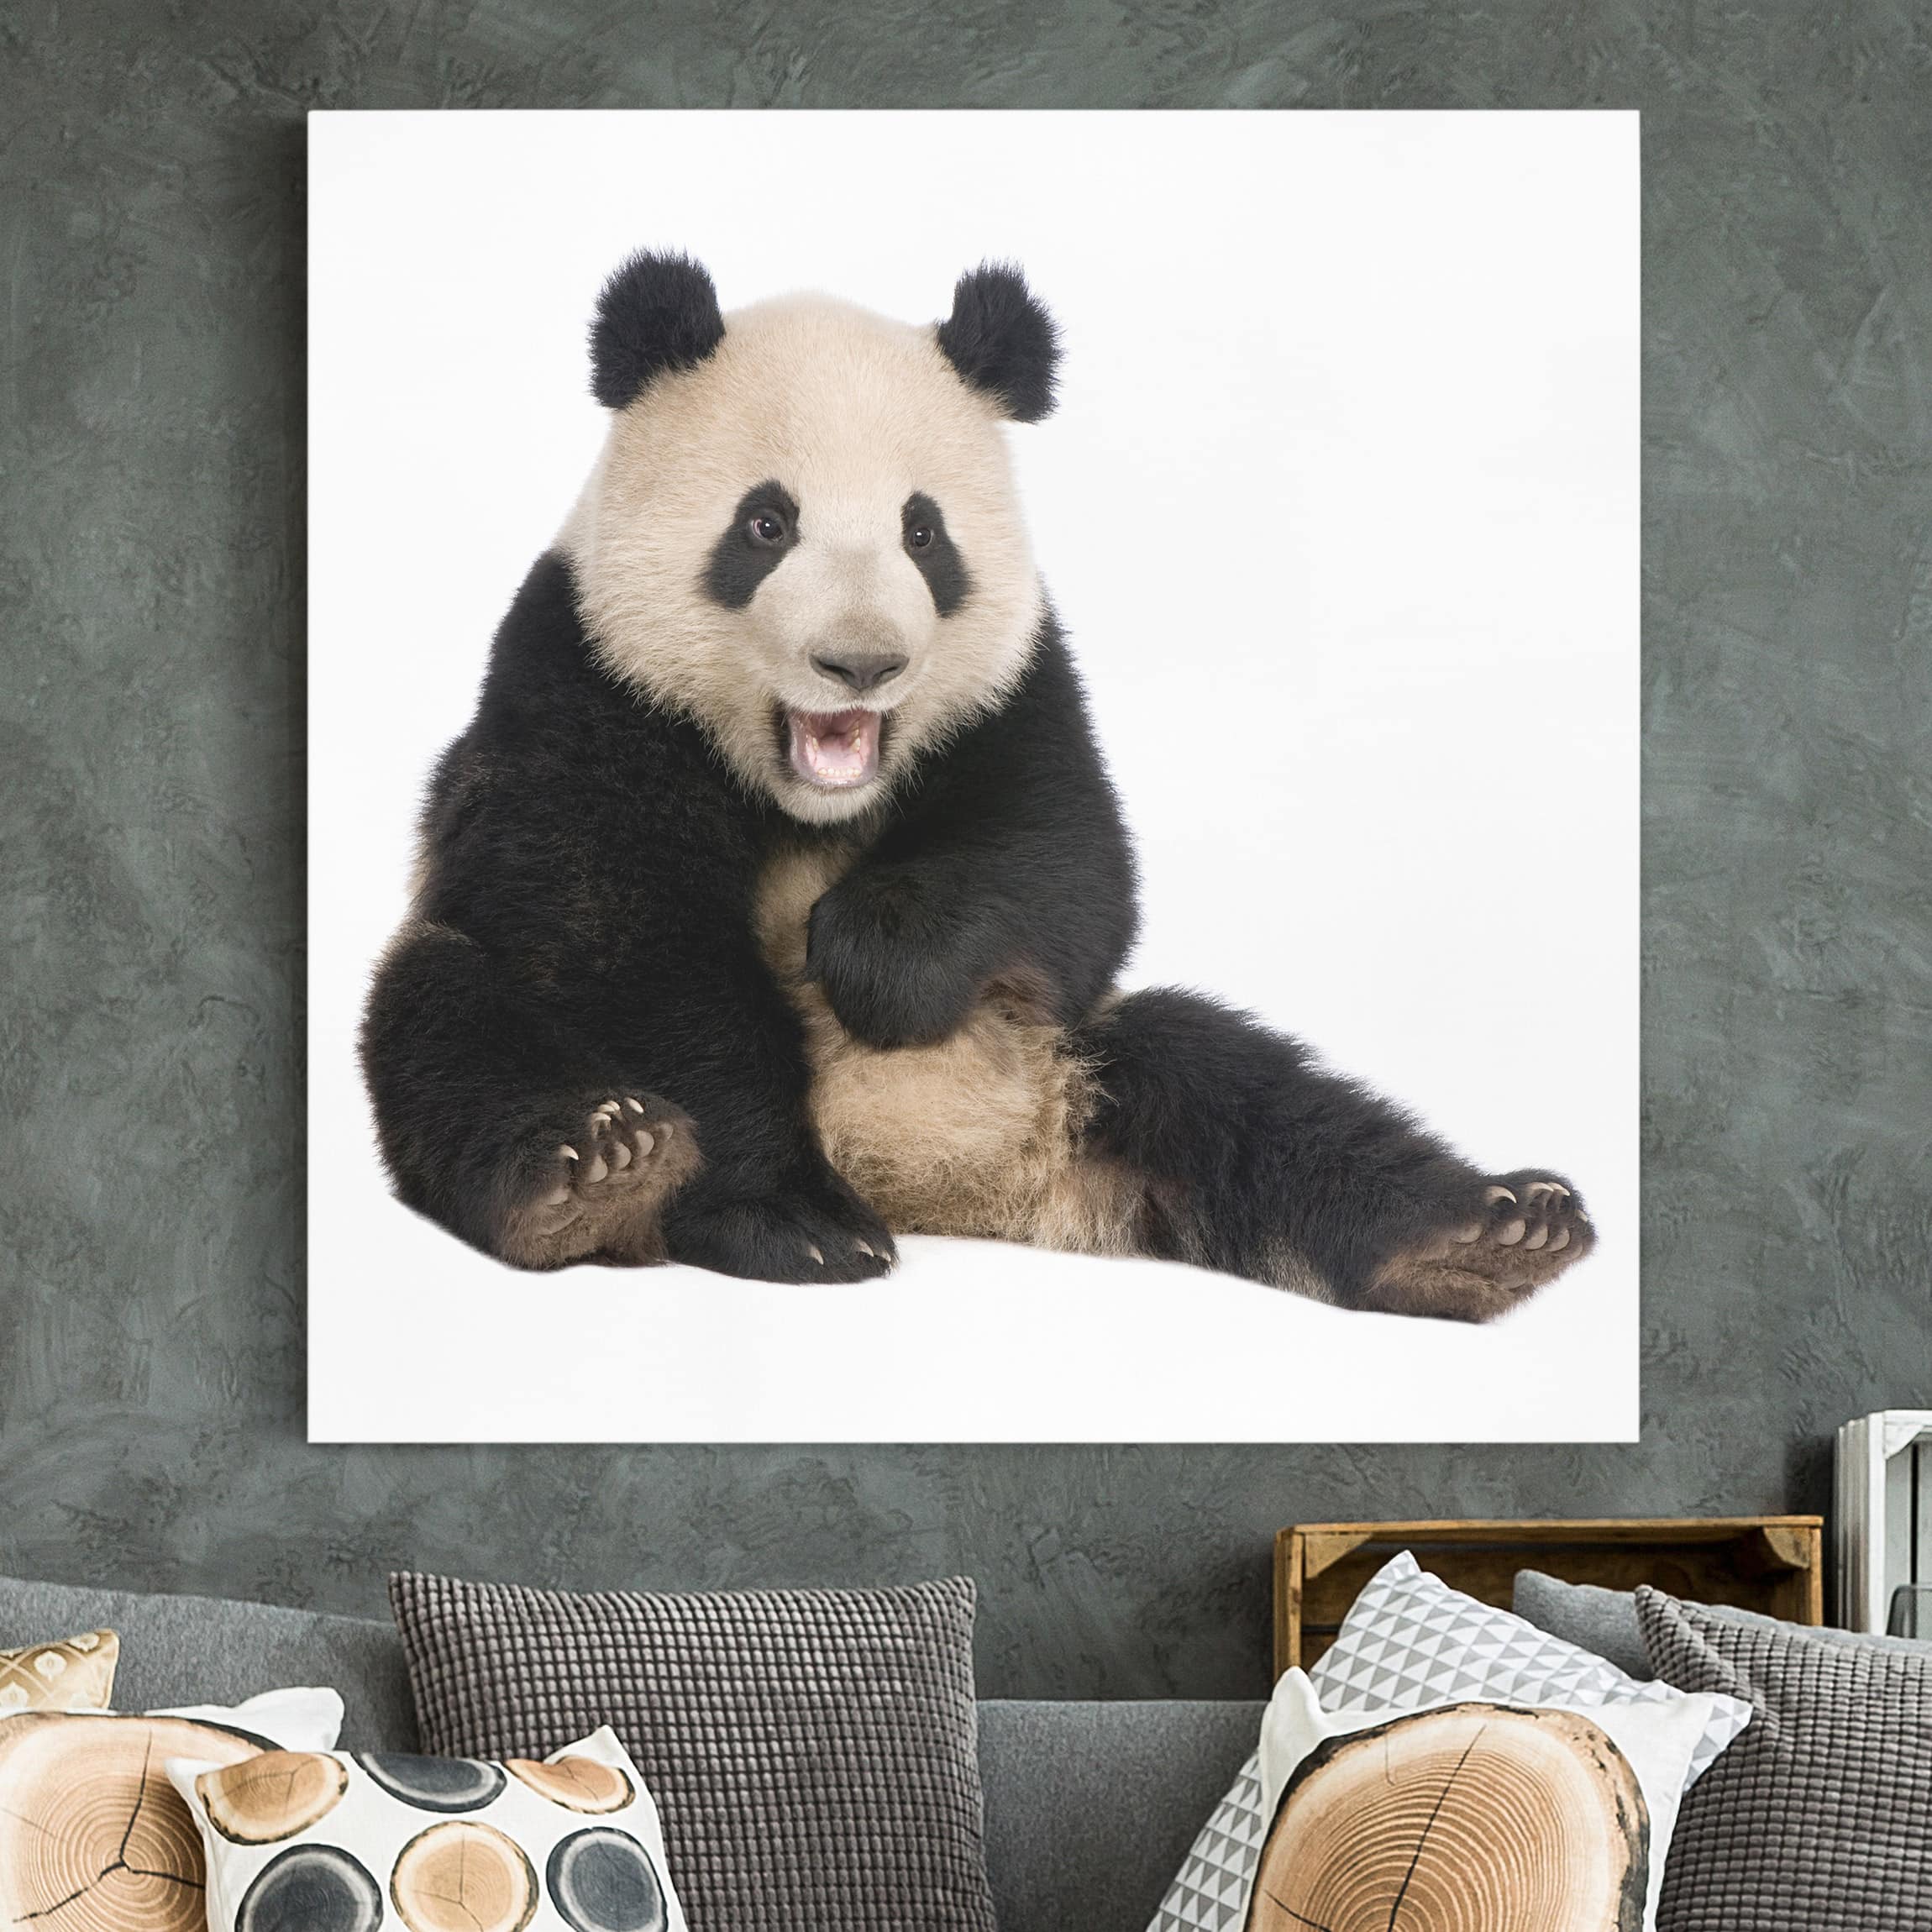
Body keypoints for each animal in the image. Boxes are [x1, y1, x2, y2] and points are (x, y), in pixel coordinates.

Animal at [359, 250, 1595, 1321]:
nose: (861, 663)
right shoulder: (579, 680)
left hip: (1069, 1061)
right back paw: (598, 1170)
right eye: (765, 523)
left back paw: (1480, 1233)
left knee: (1240, 1088)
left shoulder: (1020, 687)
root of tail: (947, 1188)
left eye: (924, 532)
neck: (807, 798)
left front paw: (869, 952)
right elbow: (620, 939)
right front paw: (793, 1224)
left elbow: (1070, 871)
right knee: (446, 1018)